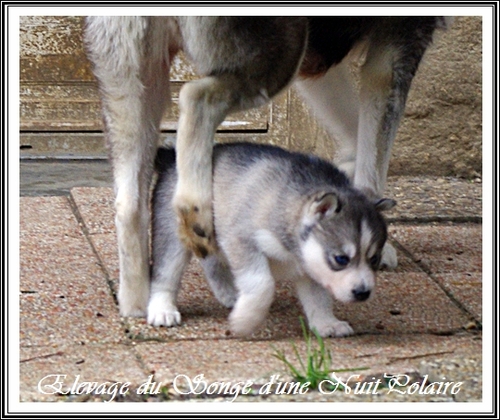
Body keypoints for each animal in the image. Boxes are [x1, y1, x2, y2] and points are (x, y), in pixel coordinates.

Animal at [148, 143, 394, 336]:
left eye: (374, 259)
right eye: (341, 259)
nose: (363, 293)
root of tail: (171, 156)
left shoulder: (312, 265)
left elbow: (319, 297)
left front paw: (327, 324)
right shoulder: (242, 240)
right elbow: (262, 284)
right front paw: (245, 321)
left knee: (212, 262)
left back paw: (230, 294)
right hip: (174, 232)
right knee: (165, 272)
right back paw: (162, 309)